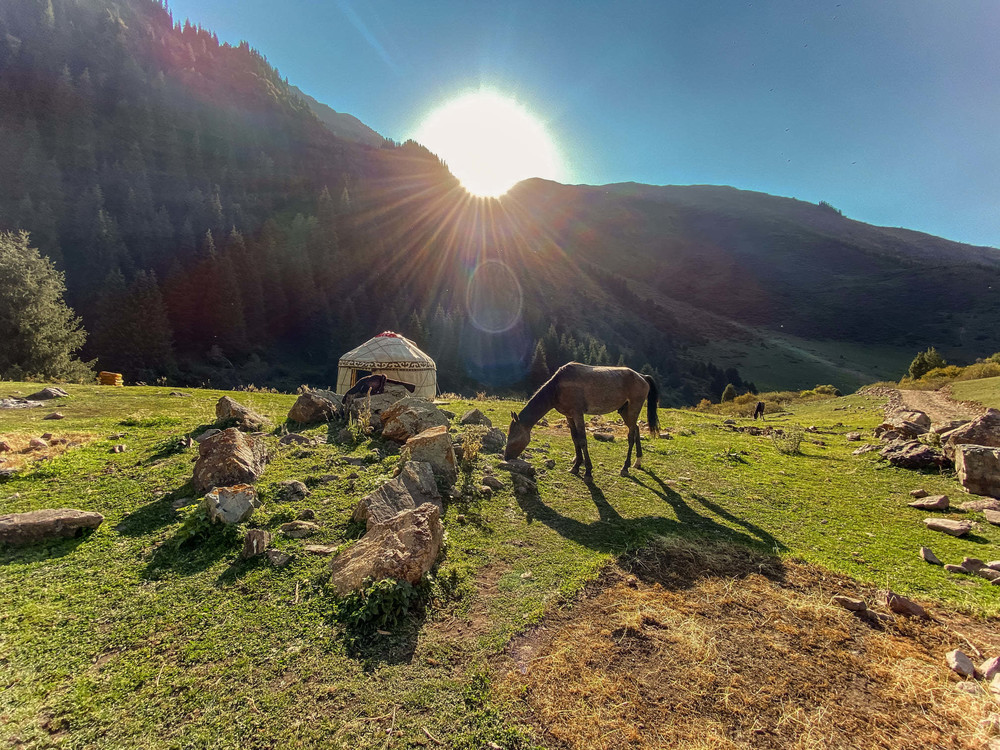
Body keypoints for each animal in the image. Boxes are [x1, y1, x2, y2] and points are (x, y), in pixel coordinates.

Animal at [504, 362, 659, 479]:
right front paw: (576, 466)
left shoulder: (578, 413)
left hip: (634, 408)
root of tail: (642, 377)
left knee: (631, 435)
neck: (557, 388)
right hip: (624, 411)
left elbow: (583, 440)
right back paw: (637, 461)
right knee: (636, 429)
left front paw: (588, 471)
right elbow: (575, 439)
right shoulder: (569, 416)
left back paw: (625, 467)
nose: (506, 457)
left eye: (513, 437)